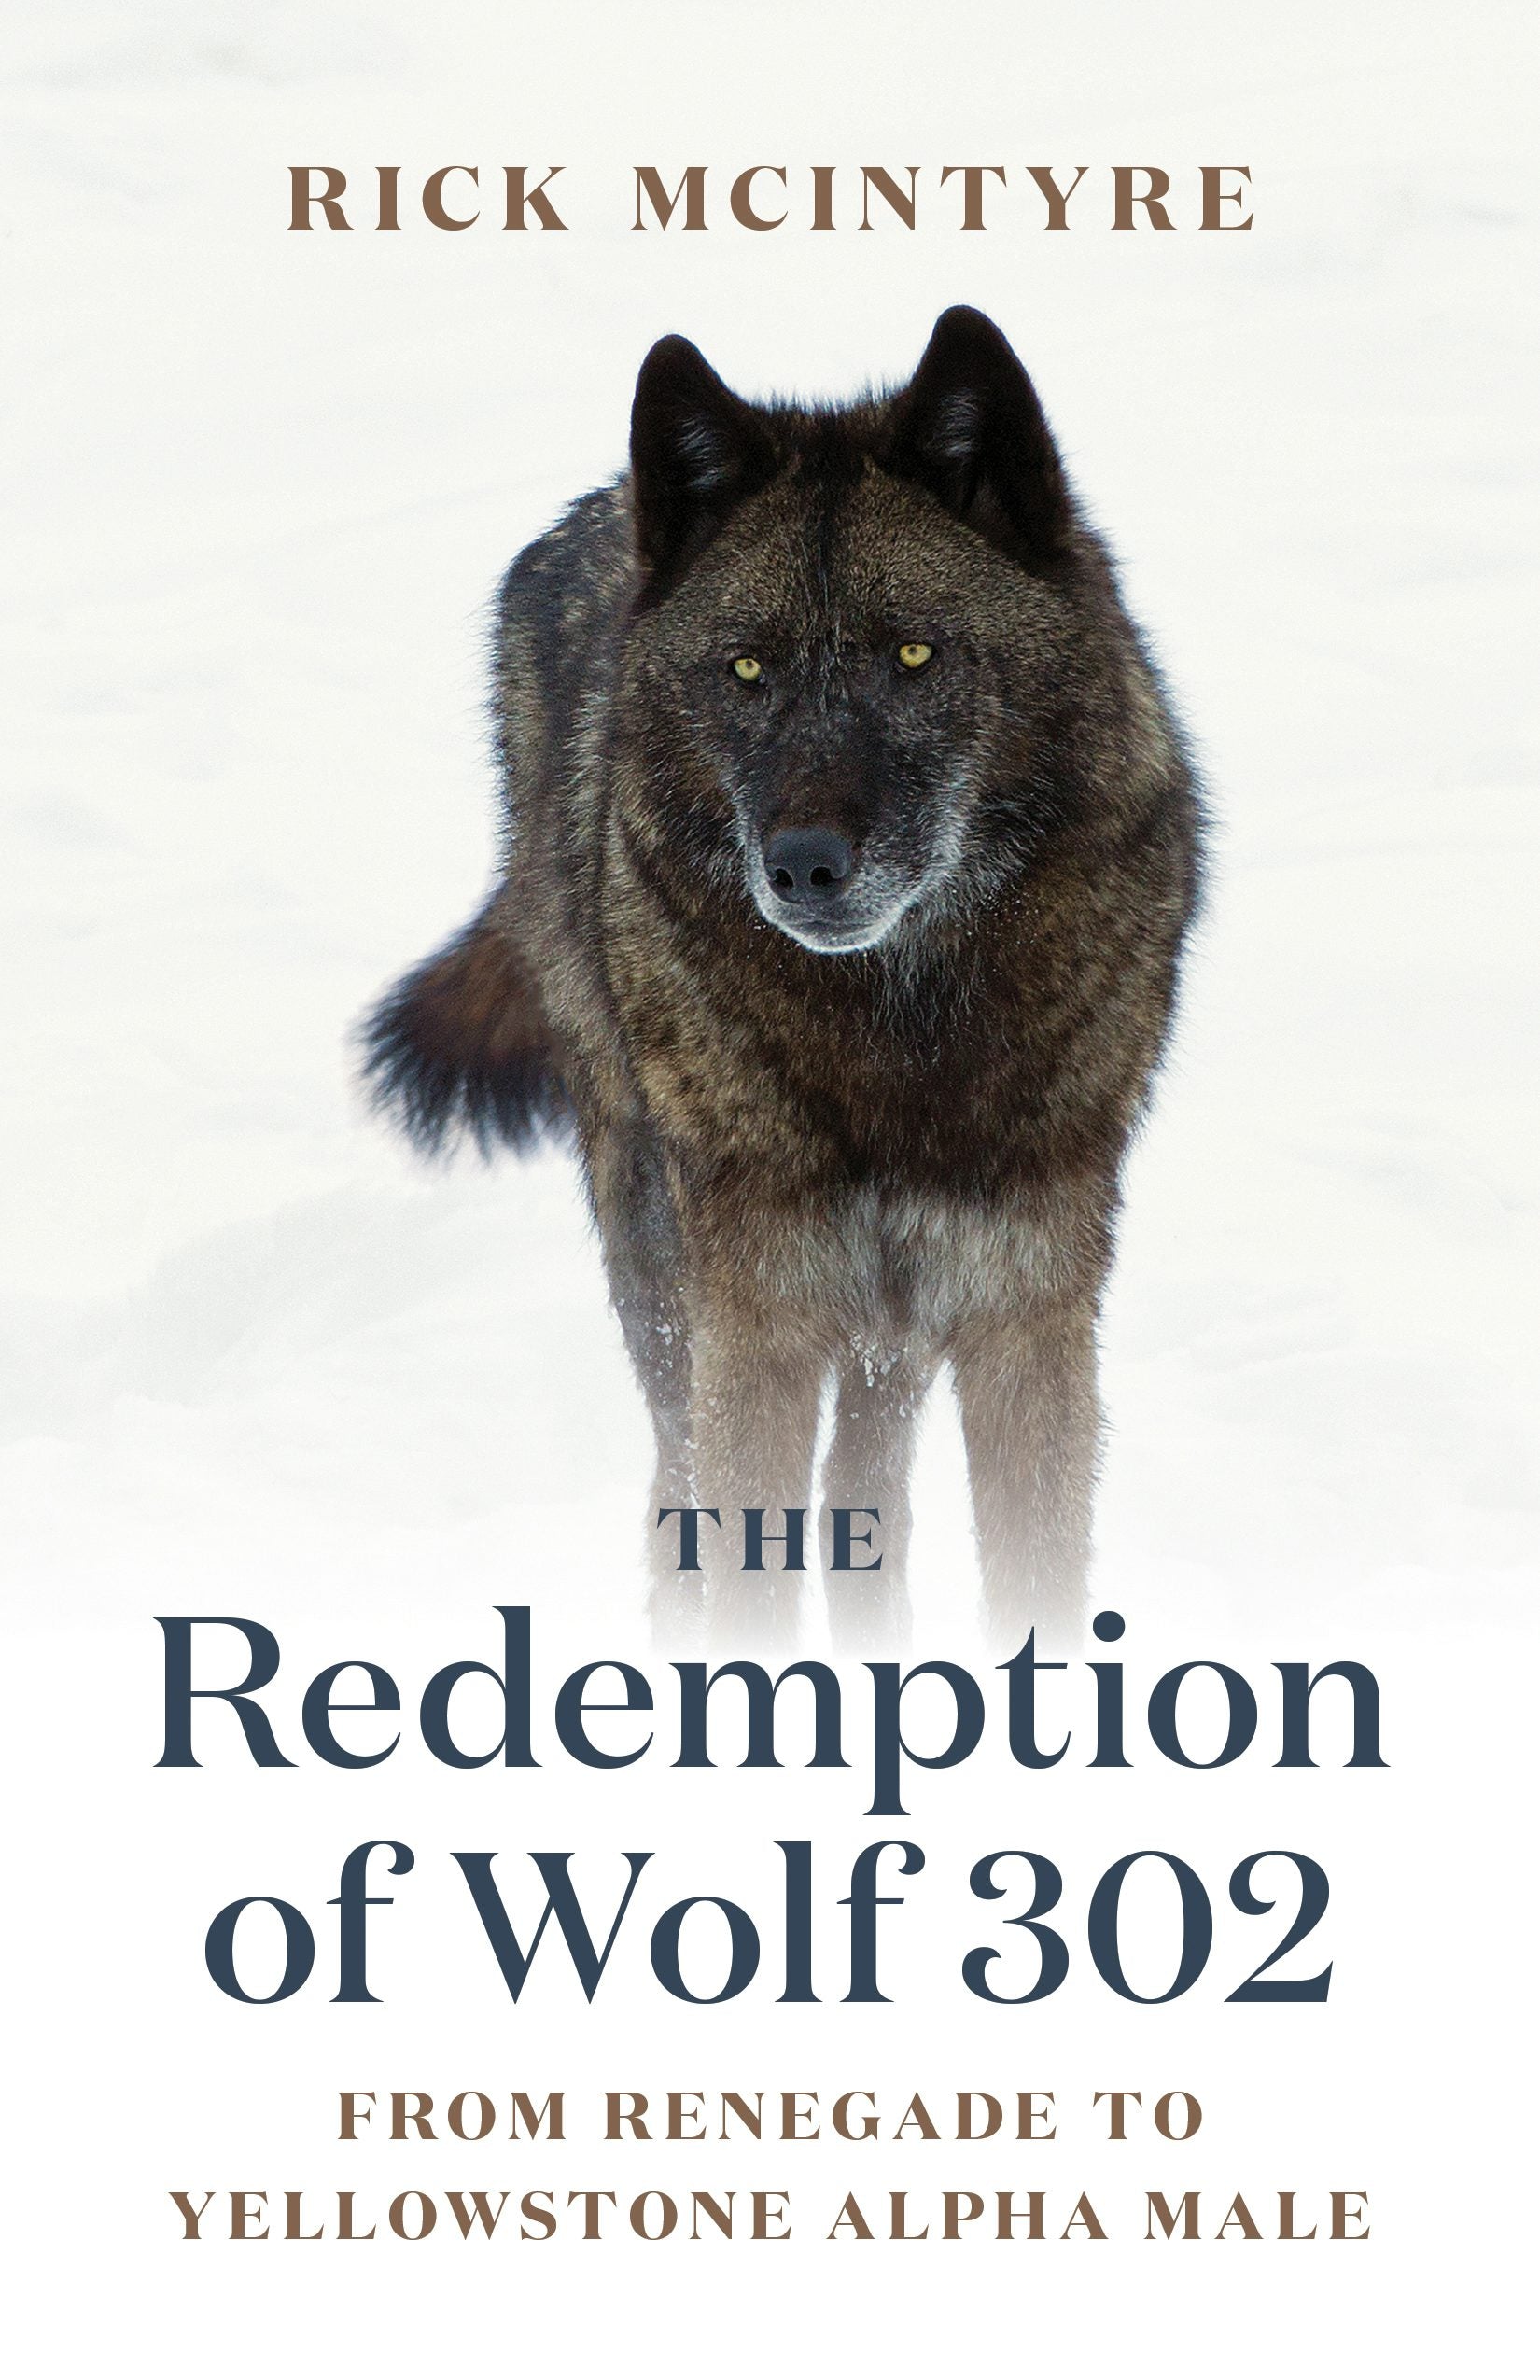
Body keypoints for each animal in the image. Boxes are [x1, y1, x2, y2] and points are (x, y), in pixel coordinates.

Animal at [364, 306, 1202, 1647]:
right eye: (746, 670)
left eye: (912, 653)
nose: (802, 865)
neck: (899, 1039)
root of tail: (602, 505)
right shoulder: (754, 1323)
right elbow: (742, 1563)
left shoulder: (1025, 1313)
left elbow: (1031, 1579)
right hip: (660, 1257)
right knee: (679, 1488)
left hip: (887, 1333)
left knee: (869, 1494)